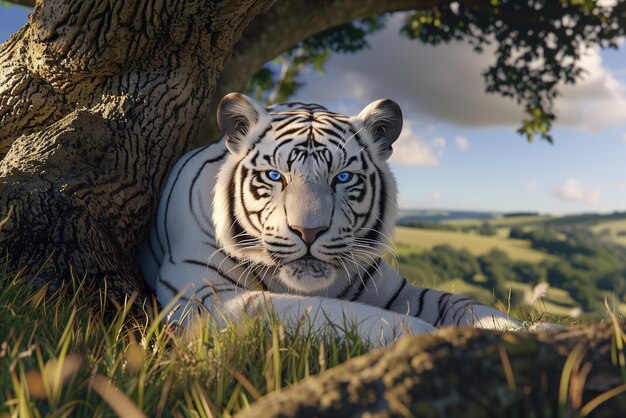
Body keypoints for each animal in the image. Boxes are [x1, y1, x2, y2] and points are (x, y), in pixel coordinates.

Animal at [138, 94, 540, 346]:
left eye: (343, 177)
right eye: (274, 176)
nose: (309, 231)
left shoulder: (395, 288)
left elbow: (464, 306)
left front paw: (530, 331)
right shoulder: (206, 296)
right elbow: (321, 311)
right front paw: (425, 337)